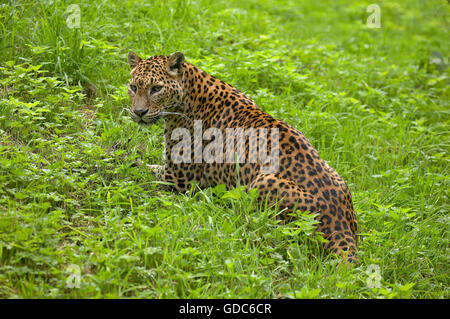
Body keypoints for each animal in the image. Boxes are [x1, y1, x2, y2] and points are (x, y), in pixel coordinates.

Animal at [125, 50, 356, 264]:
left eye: (156, 89)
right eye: (133, 87)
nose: (139, 112)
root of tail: (341, 222)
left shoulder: (176, 180)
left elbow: (144, 170)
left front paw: (126, 160)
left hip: (262, 182)